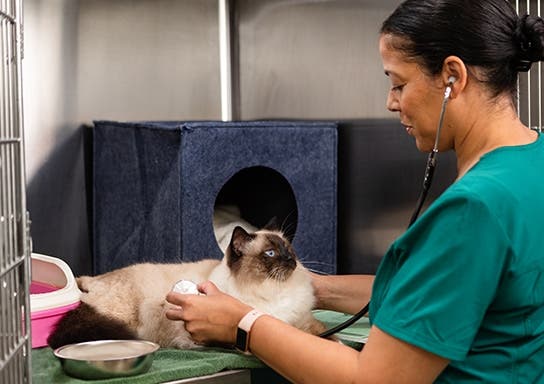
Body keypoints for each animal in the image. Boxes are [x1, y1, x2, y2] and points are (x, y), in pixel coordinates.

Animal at [46, 224, 326, 350]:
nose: (291, 261)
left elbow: (327, 337)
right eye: (270, 253)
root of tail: (86, 280)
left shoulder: (304, 324)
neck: (273, 293)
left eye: (288, 250)